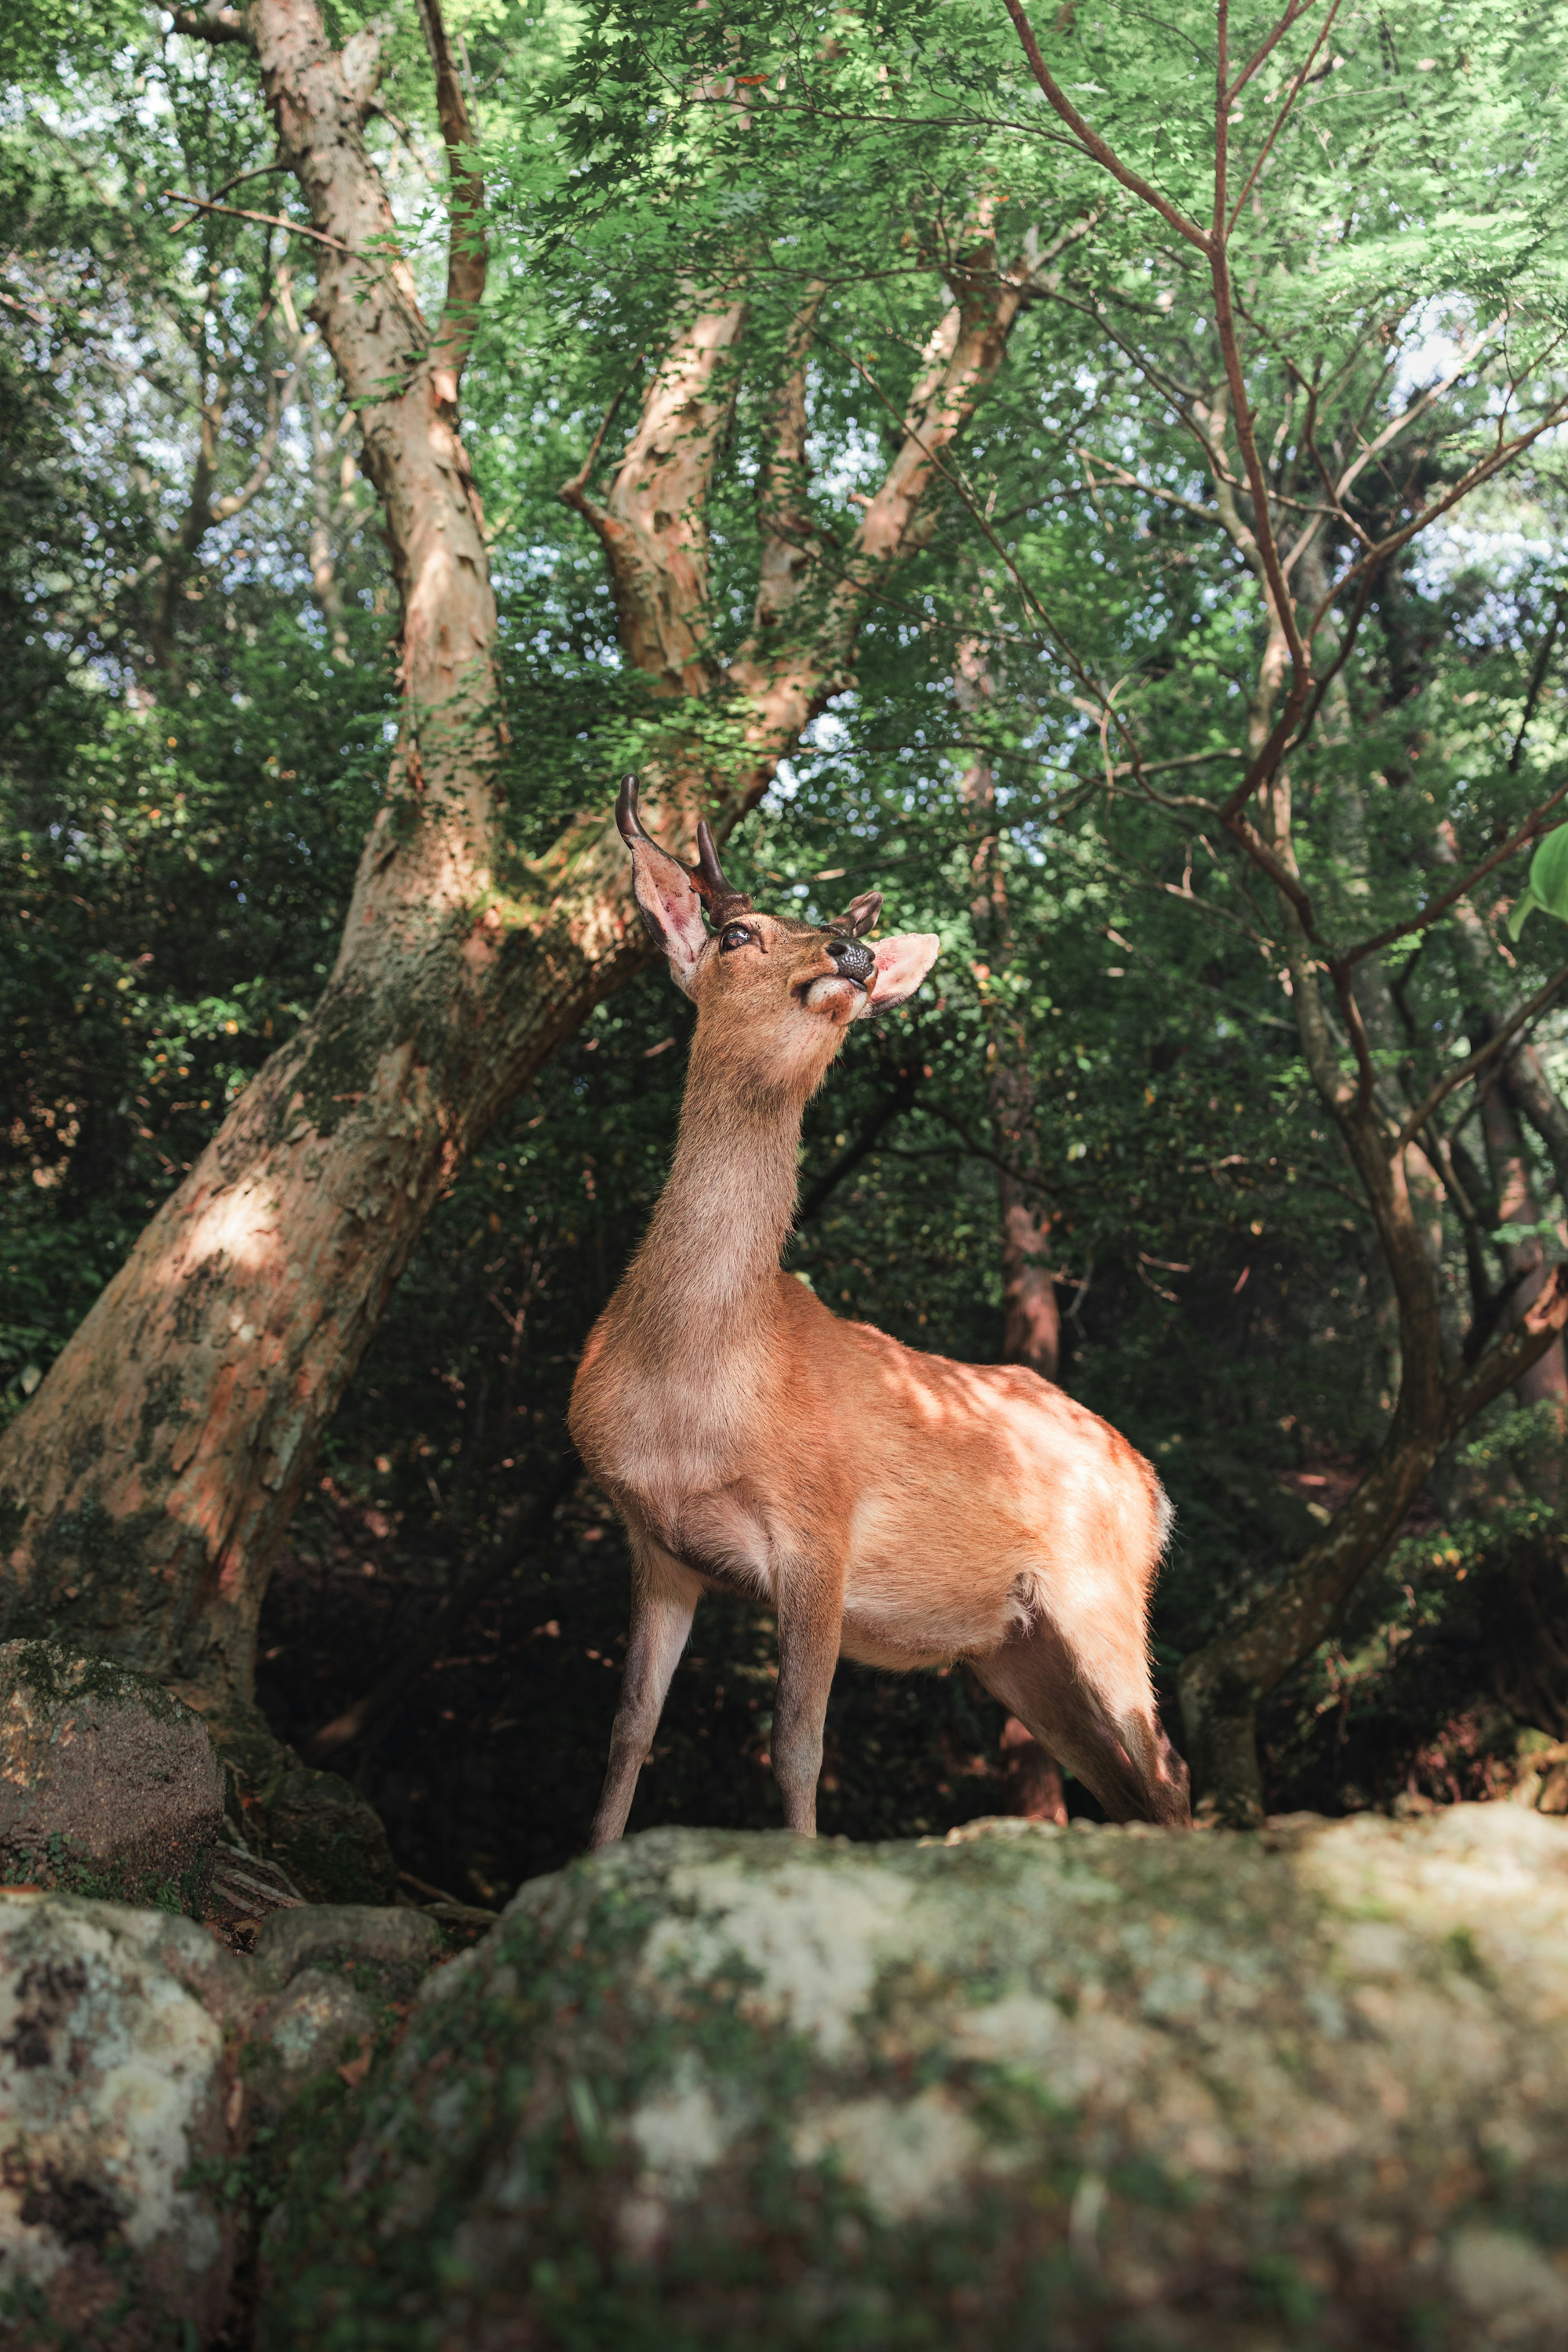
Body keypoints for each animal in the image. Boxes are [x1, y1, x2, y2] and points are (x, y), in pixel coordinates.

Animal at [571, 781, 1194, 1844]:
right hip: (1015, 1649)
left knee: (1168, 1768)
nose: (852, 956)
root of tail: (1153, 1492)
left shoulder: (819, 1531)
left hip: (1102, 1593)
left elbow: (796, 1748)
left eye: (837, 933)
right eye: (735, 932)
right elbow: (624, 1736)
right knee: (1123, 1783)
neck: (691, 1387)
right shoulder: (655, 1546)